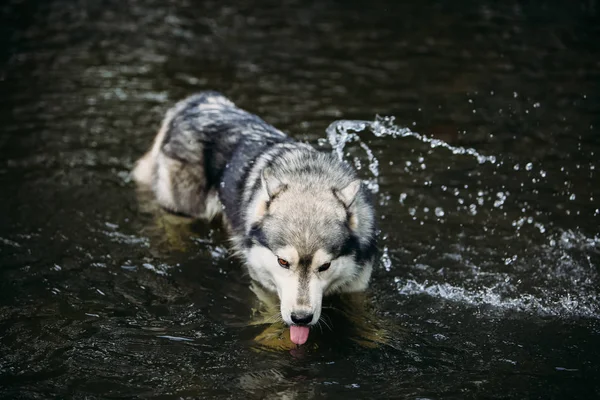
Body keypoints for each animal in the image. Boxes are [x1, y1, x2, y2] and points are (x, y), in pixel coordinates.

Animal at [134, 92, 378, 346]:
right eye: (283, 262)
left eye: (325, 266)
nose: (301, 318)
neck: (310, 178)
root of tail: (197, 100)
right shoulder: (263, 283)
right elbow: (270, 314)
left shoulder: (358, 285)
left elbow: (364, 314)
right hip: (181, 209)